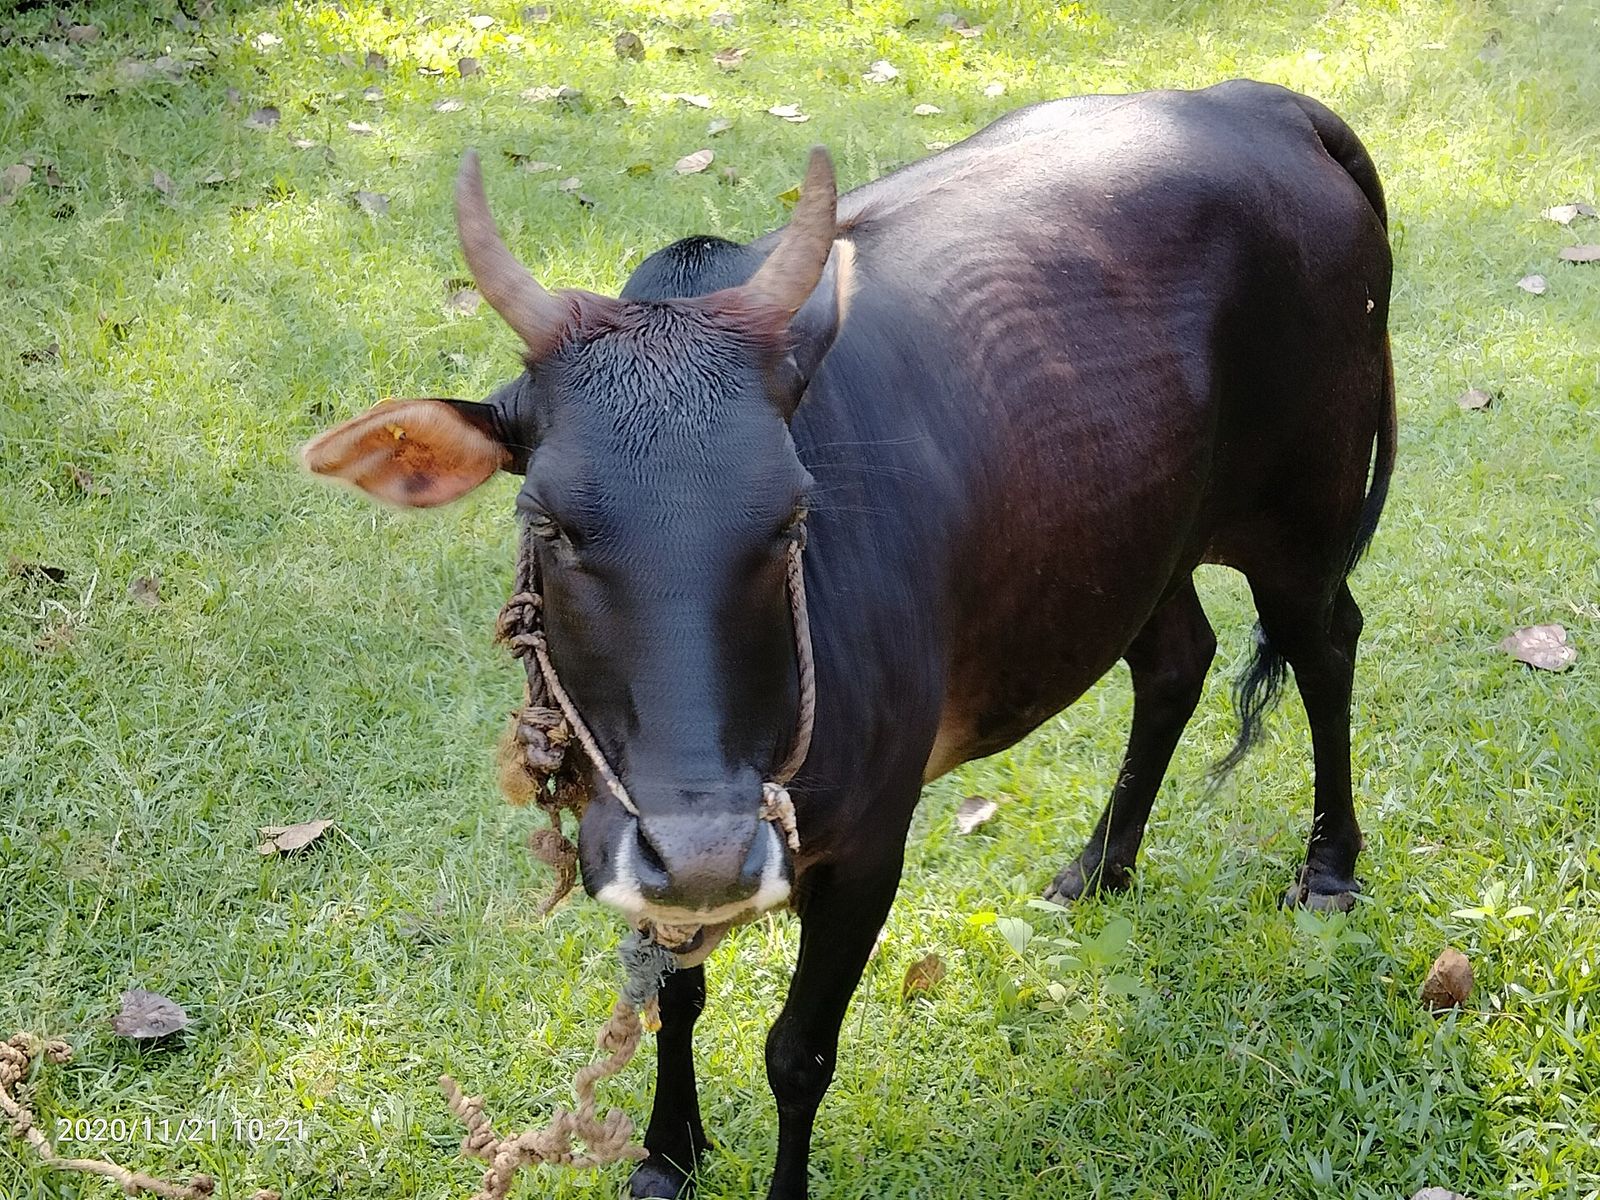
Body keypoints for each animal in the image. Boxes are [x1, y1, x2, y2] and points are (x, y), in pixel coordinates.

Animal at [301, 79, 1394, 1199]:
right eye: (547, 523)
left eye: (791, 516)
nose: (707, 848)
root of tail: (1262, 103)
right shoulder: (645, 847)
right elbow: (674, 990)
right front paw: (666, 1152)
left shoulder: (872, 845)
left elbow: (798, 1054)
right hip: (1134, 540)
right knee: (1175, 662)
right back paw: (1098, 869)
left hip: (1301, 524)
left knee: (1327, 646)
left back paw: (1328, 871)